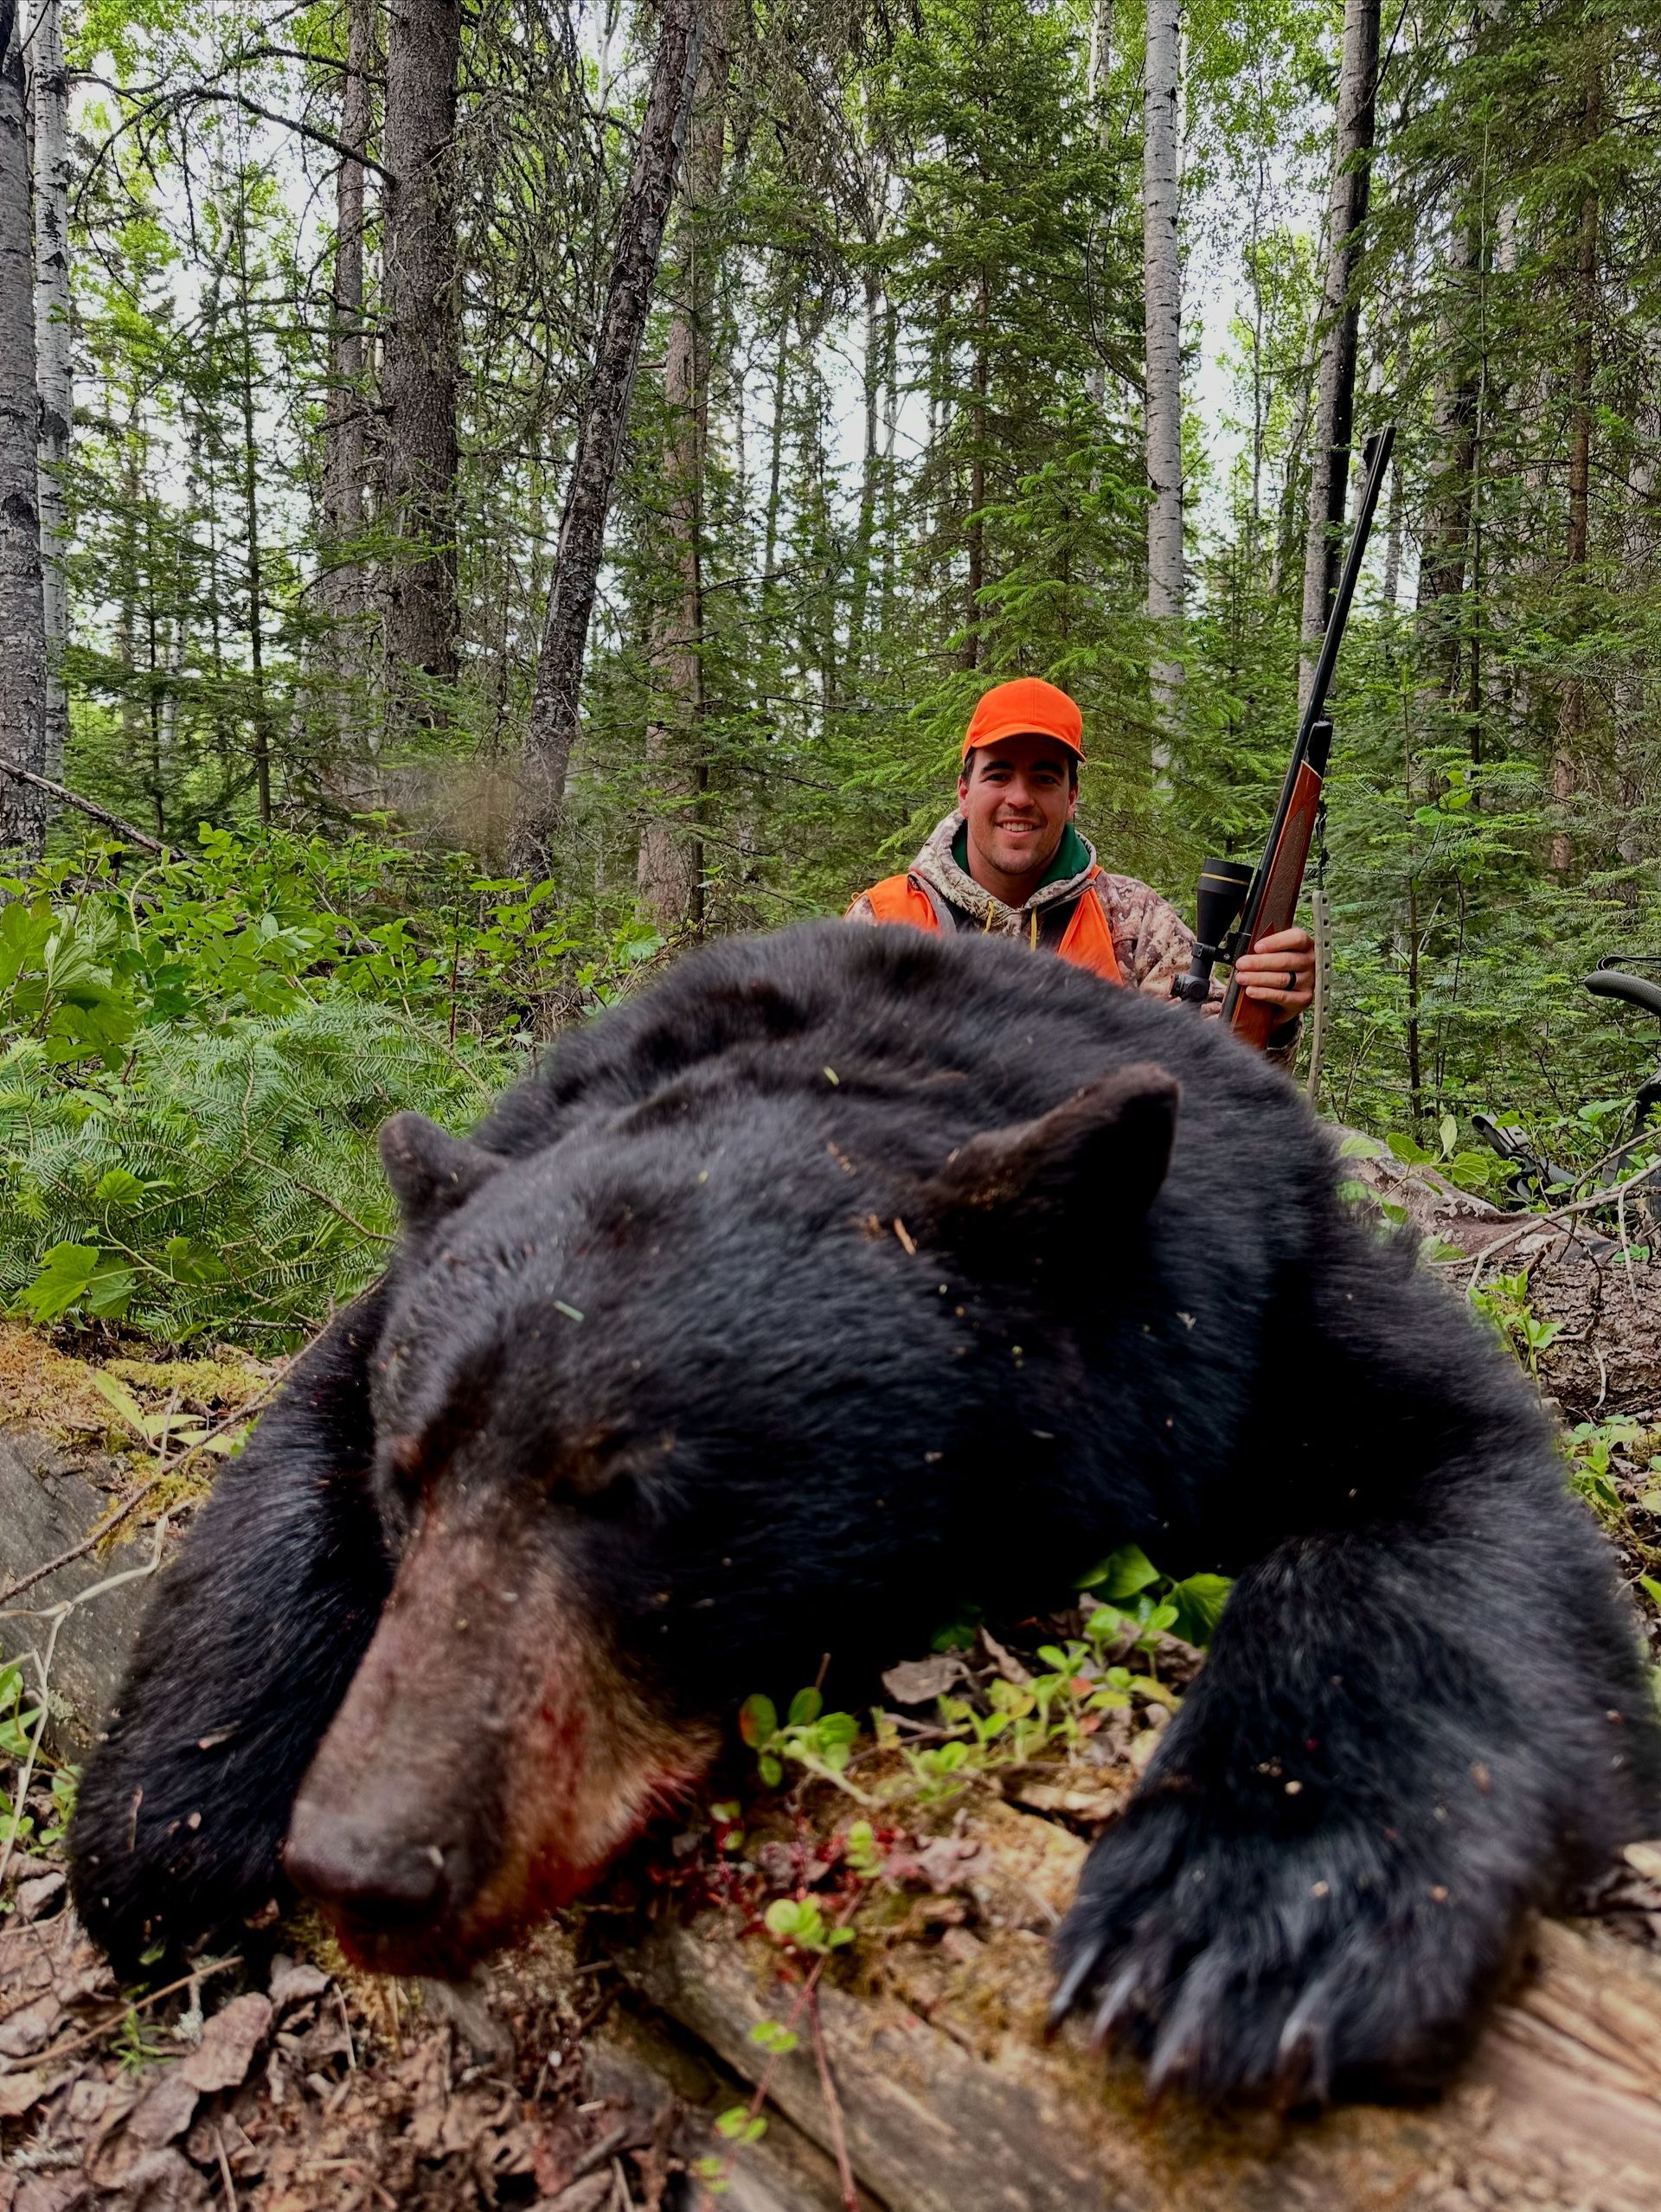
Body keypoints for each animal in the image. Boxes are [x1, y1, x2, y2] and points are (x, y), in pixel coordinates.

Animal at [70, 919, 1659, 2106]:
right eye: (412, 1479)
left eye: (643, 1496)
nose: (366, 1864)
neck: (868, 1052)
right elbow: (297, 1430)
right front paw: (170, 1825)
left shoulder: (1265, 1287)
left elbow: (1453, 1482)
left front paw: (1250, 1915)